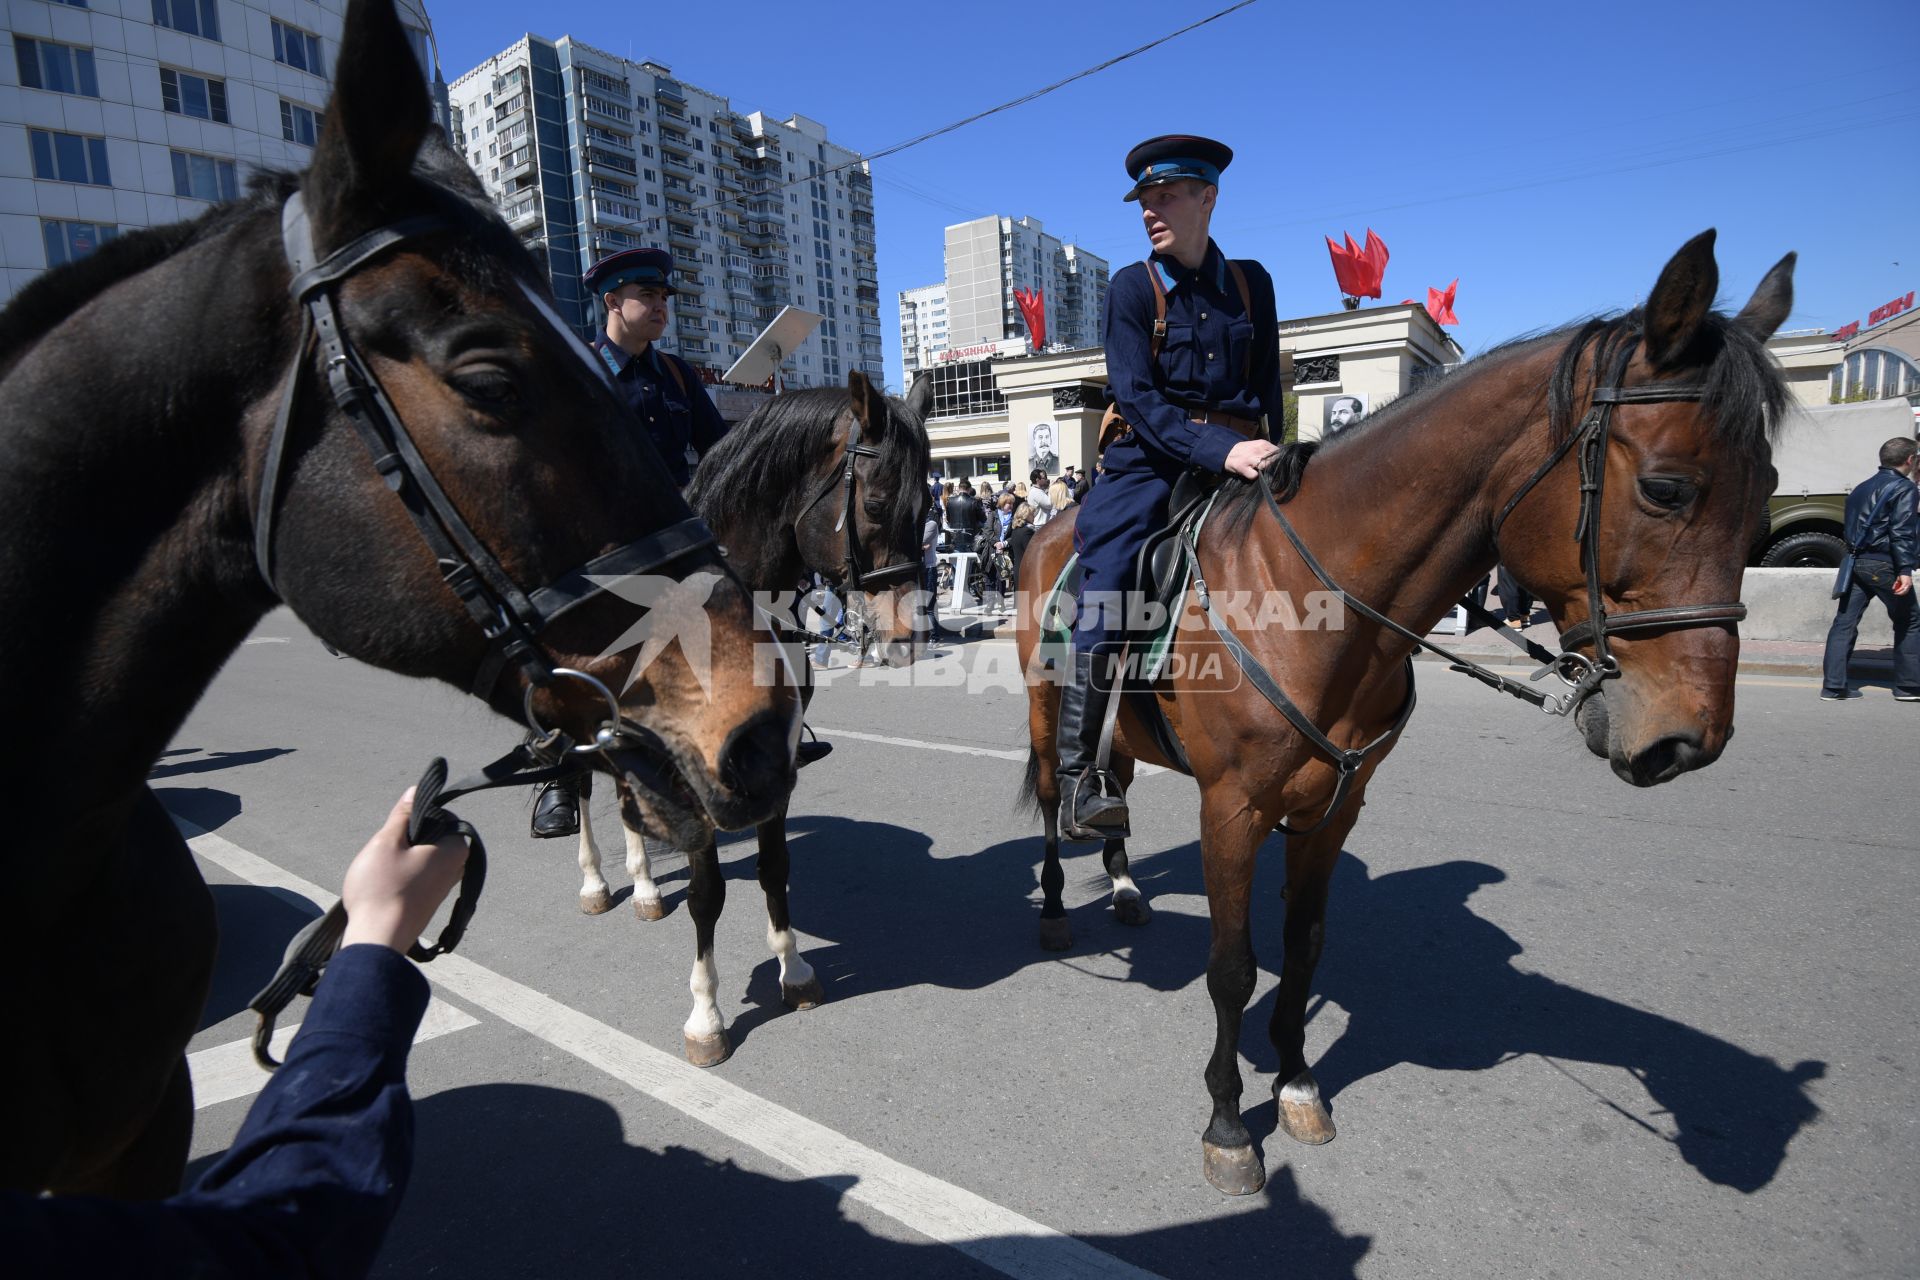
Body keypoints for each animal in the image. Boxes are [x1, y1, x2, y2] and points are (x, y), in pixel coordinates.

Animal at [568, 370, 929, 1074]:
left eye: (930, 505)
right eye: (875, 505)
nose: (907, 641)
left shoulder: (770, 761)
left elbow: (774, 867)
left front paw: (794, 970)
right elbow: (707, 894)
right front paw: (706, 1015)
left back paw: (644, 887)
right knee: (578, 791)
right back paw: (597, 882)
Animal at [1021, 233, 1797, 1205]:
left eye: (1768, 488)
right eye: (1666, 488)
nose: (1689, 737)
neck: (1315, 599)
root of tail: (1049, 525)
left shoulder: (1335, 806)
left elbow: (1305, 946)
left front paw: (1299, 1082)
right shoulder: (1231, 809)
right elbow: (1233, 967)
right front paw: (1230, 1123)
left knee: (1111, 782)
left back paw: (1124, 885)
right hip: (1046, 714)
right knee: (1052, 803)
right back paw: (1057, 905)